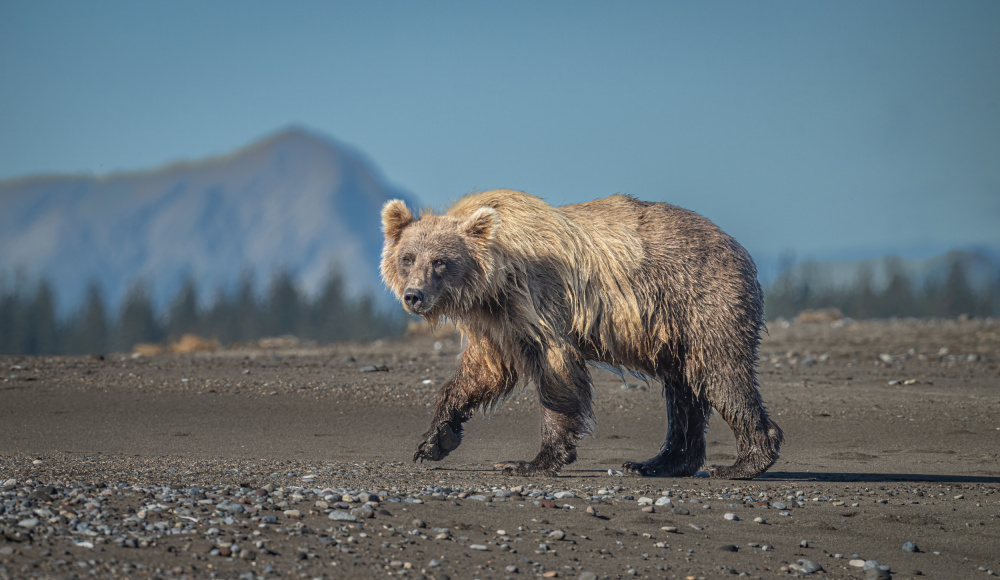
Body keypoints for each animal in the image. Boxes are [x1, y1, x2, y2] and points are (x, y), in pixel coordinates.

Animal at [380, 190, 780, 480]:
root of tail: (738, 248)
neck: (495, 282)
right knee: (683, 392)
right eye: (408, 257)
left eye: (440, 261)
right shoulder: (498, 324)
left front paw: (531, 462)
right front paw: (433, 440)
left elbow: (557, 376)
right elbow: (481, 373)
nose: (413, 295)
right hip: (670, 330)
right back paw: (658, 462)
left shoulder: (541, 302)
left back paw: (743, 462)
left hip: (702, 299)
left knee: (720, 374)